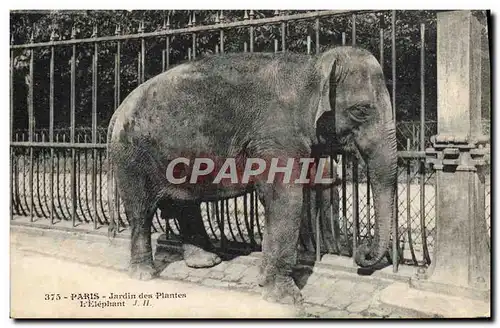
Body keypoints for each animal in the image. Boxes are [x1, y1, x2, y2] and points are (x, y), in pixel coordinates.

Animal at [107, 46, 396, 304]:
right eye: (361, 110)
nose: (363, 253)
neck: (312, 66)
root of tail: (118, 110)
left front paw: (265, 280)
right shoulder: (274, 136)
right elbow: (286, 199)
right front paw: (285, 297)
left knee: (186, 204)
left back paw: (206, 262)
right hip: (132, 157)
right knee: (141, 211)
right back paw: (145, 274)